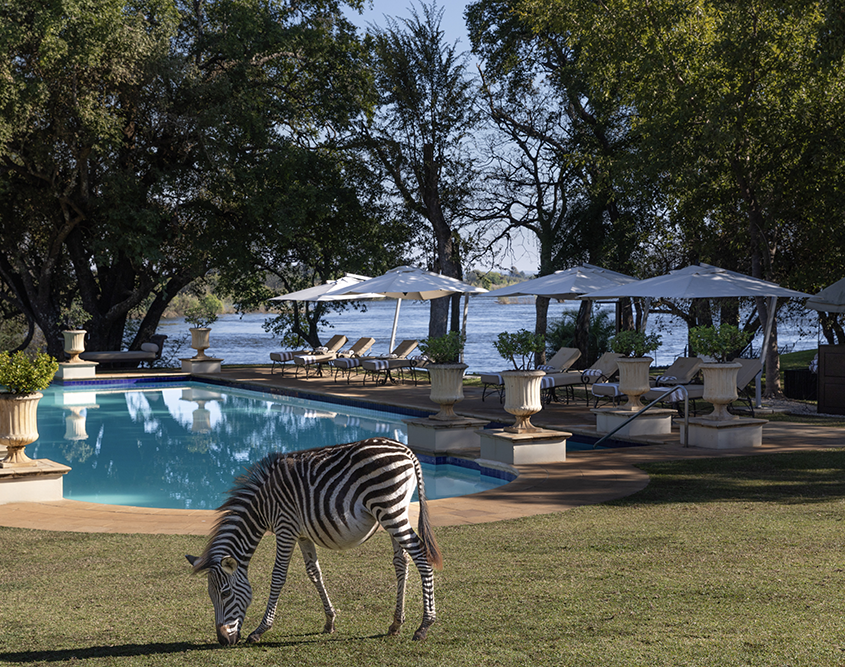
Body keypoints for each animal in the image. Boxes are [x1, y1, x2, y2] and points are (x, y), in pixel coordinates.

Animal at [186, 437, 443, 645]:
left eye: (225, 594)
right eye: (210, 595)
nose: (223, 641)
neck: (262, 506)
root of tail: (407, 451)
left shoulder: (285, 528)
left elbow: (278, 577)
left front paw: (260, 630)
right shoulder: (302, 534)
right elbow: (314, 573)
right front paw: (329, 621)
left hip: (390, 510)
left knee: (421, 555)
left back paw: (425, 625)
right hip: (396, 512)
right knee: (402, 562)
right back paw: (396, 624)